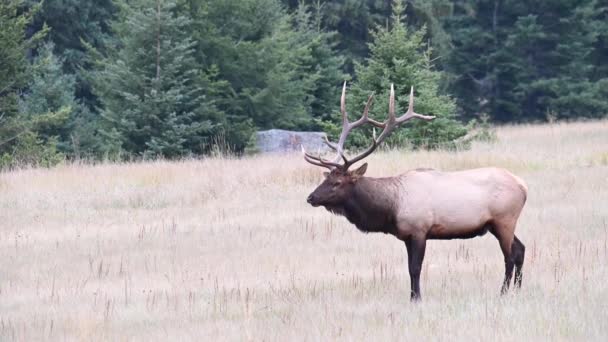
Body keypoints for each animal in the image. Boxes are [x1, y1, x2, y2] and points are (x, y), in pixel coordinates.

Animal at [304, 83, 528, 302]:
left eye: (337, 182)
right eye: (326, 178)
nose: (311, 197)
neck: (391, 208)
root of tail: (523, 186)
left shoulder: (420, 229)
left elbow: (415, 268)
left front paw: (417, 299)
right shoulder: (406, 235)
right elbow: (409, 268)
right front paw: (412, 296)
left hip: (504, 219)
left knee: (508, 256)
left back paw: (503, 293)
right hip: (496, 224)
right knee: (520, 249)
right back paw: (517, 290)